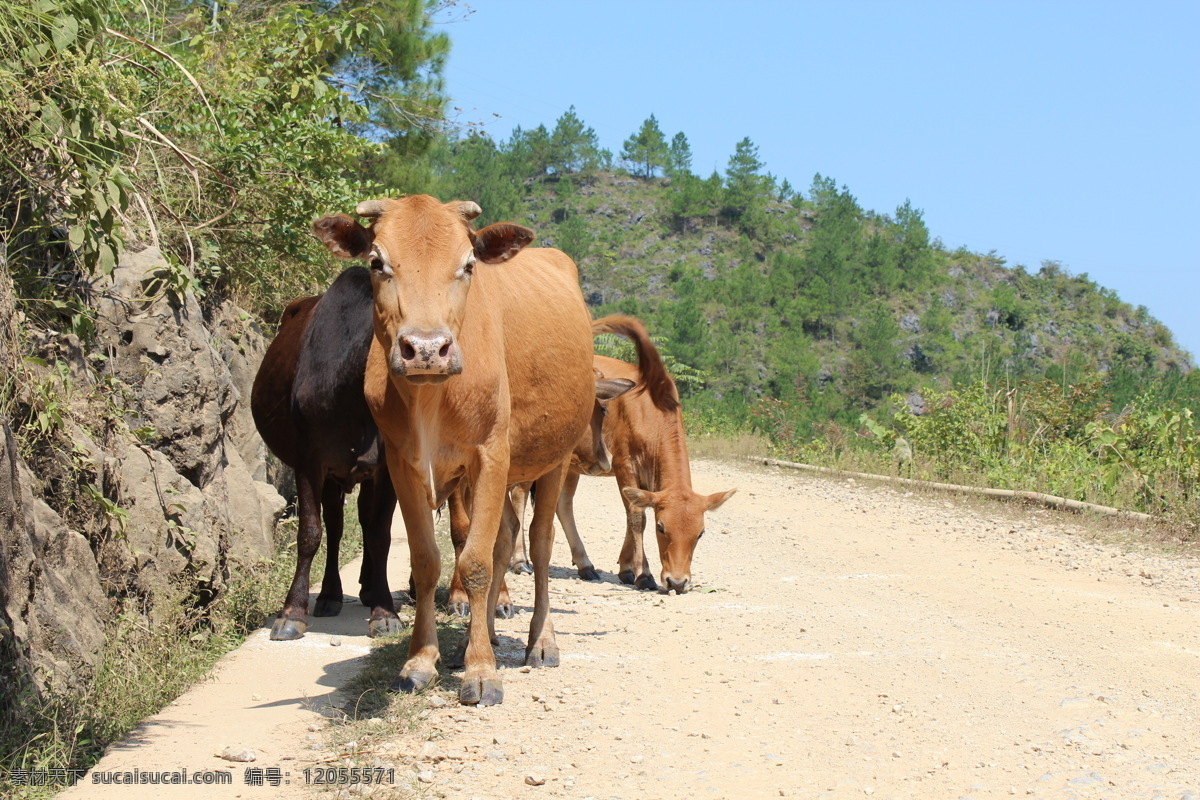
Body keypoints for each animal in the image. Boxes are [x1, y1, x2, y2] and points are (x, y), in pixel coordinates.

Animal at [309, 195, 590, 705]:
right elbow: (428, 561)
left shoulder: (491, 455)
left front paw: (482, 671)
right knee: (506, 539)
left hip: (554, 458)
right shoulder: (402, 464)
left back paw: (541, 640)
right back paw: (484, 639)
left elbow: (475, 563)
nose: (425, 348)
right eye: (377, 262)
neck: (430, 398)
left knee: (538, 544)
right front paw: (422, 661)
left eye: (468, 264)